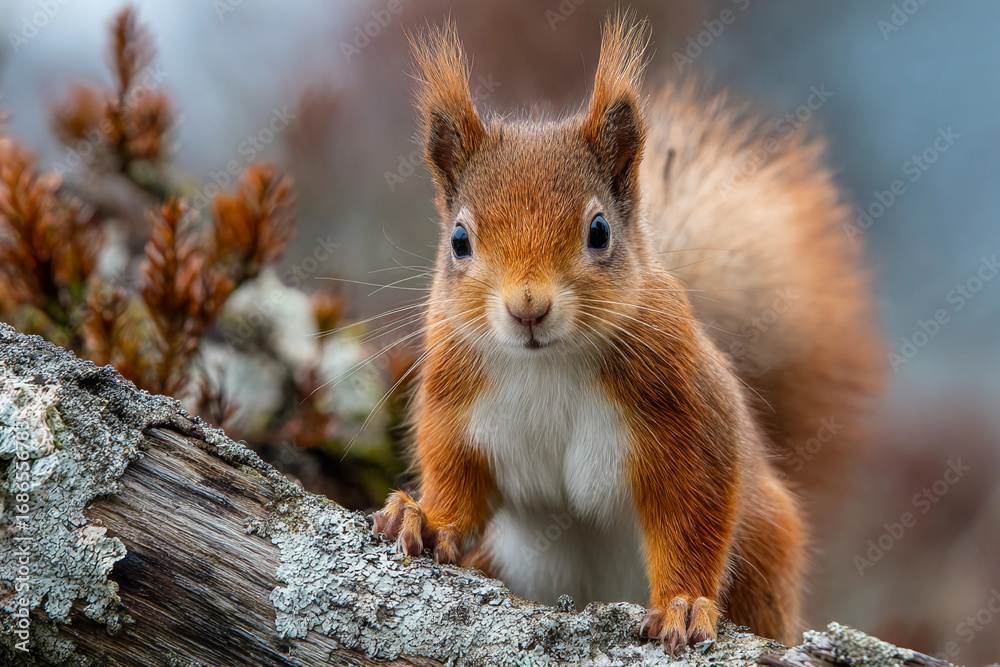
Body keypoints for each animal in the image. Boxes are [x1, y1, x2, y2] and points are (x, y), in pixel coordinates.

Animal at [372, 13, 882, 652]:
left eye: (599, 231)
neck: (547, 363)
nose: (527, 309)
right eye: (459, 241)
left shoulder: (684, 412)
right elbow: (456, 480)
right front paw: (422, 516)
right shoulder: (453, 402)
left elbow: (693, 512)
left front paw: (683, 605)